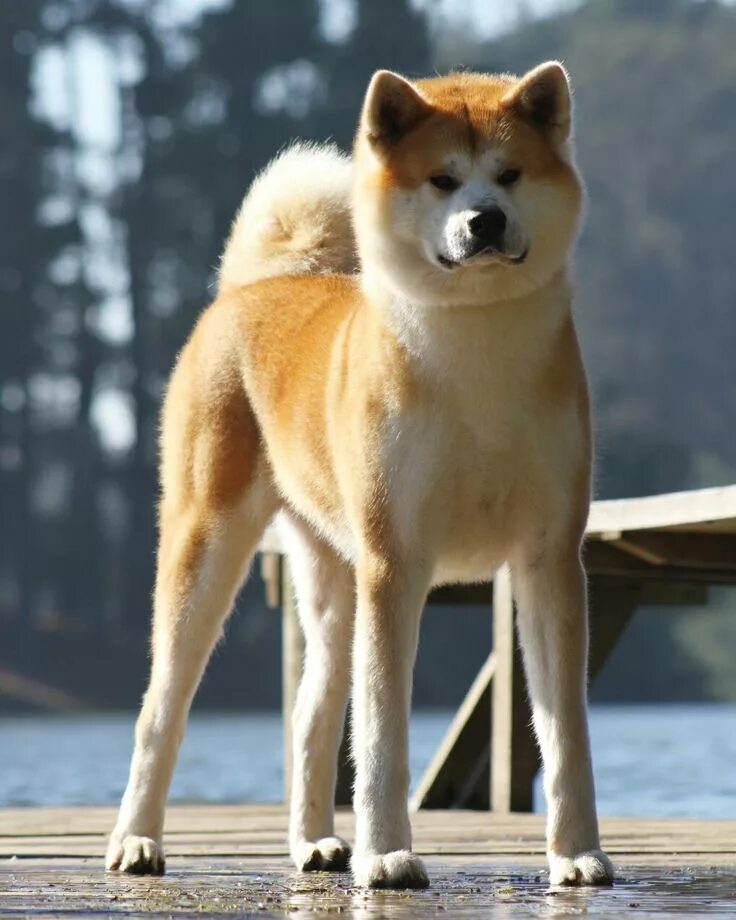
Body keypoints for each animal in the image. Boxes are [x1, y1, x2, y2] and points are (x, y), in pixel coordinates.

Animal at [108, 61, 616, 888]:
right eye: (443, 180)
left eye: (509, 173)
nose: (485, 221)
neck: (475, 357)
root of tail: (255, 286)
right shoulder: (396, 563)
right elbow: (382, 735)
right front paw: (388, 855)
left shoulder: (548, 560)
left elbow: (565, 731)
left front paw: (576, 854)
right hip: (207, 552)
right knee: (161, 711)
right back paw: (136, 841)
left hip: (334, 580)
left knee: (311, 713)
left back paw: (313, 842)